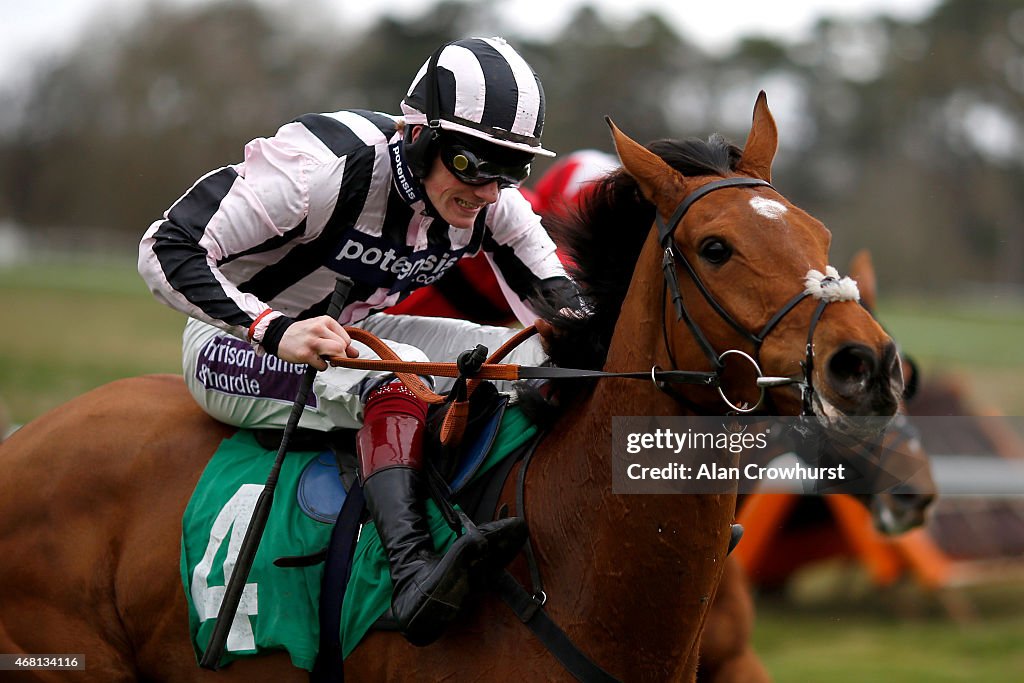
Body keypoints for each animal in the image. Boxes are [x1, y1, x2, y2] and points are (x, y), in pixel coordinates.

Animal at [0, 93, 897, 679]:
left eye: (818, 233)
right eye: (715, 247)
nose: (868, 366)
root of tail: (26, 440)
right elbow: (177, 237)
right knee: (378, 385)